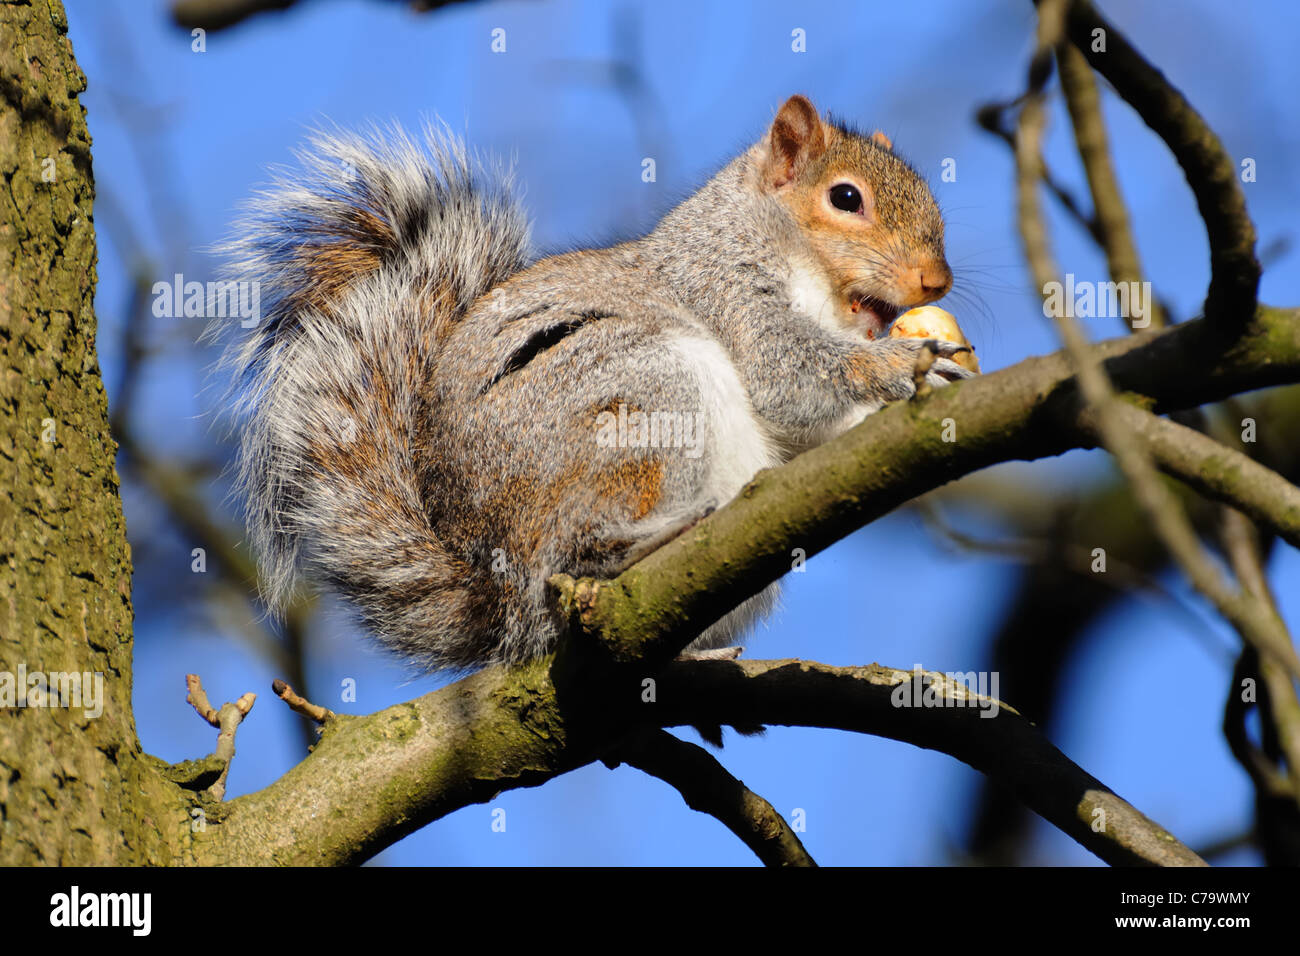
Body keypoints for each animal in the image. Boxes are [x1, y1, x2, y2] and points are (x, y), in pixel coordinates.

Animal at [223, 93, 972, 671]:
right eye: (846, 198)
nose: (935, 282)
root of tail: (499, 590)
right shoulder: (723, 287)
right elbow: (782, 371)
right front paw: (900, 365)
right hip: (636, 397)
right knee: (571, 554)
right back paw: (634, 545)